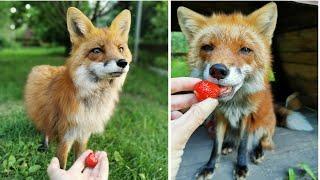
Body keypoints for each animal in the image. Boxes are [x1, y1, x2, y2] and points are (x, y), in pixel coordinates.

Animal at [23, 7, 131, 169]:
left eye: (121, 49)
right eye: (97, 50)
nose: (123, 62)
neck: (91, 102)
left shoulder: (83, 133)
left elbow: (79, 159)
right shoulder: (66, 135)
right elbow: (62, 164)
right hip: (44, 115)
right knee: (45, 129)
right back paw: (45, 145)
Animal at [178, 2, 312, 179]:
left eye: (245, 50)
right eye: (207, 47)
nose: (218, 70)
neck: (233, 104)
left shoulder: (247, 117)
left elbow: (242, 146)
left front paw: (241, 166)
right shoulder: (220, 116)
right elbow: (216, 147)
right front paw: (210, 166)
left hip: (265, 126)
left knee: (264, 142)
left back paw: (257, 152)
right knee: (232, 140)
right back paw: (228, 145)